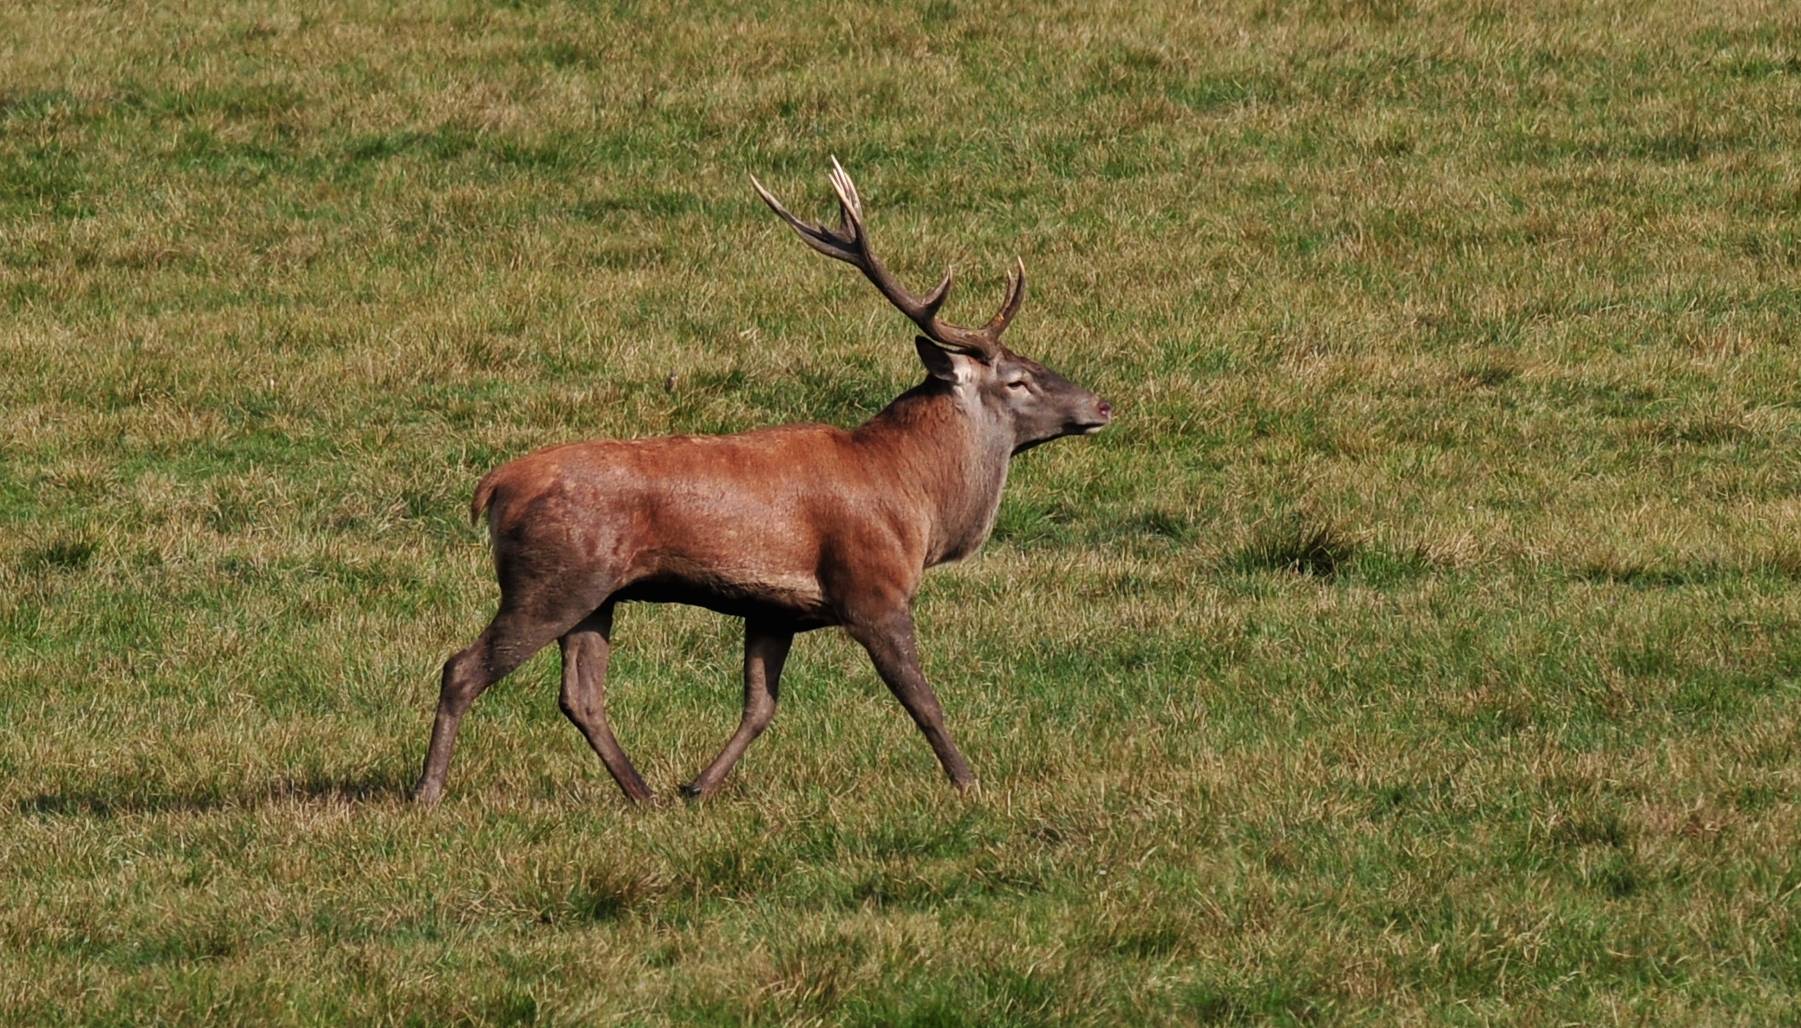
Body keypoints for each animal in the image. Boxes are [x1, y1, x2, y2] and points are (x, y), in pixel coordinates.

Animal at [411, 160, 1113, 806]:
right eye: (1018, 379)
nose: (1103, 404)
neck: (914, 498)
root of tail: (493, 488)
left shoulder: (773, 607)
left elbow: (760, 707)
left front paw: (698, 786)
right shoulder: (873, 588)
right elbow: (922, 699)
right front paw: (969, 782)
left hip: (595, 595)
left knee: (581, 695)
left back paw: (644, 794)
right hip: (550, 580)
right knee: (462, 668)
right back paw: (428, 791)